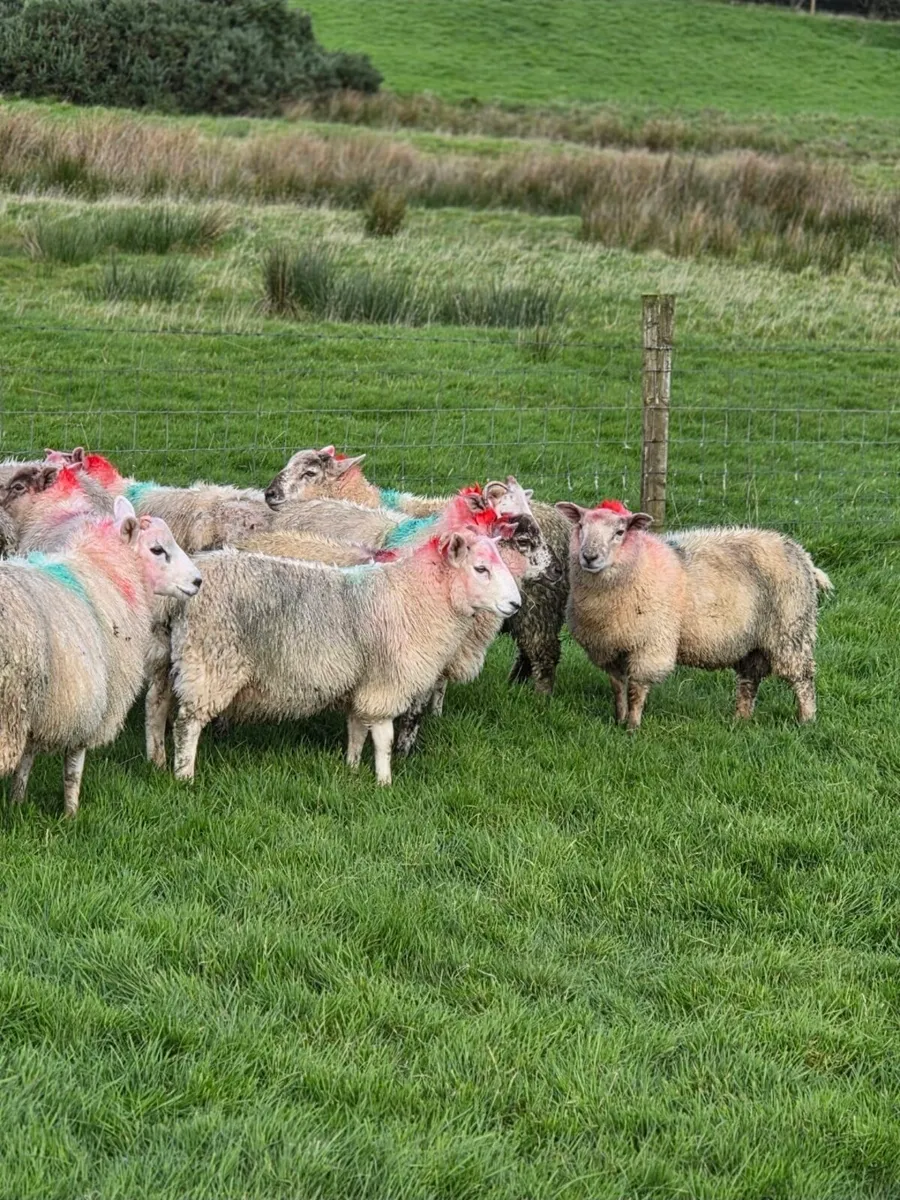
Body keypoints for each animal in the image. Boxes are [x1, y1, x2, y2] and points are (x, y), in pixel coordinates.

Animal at [0, 498, 201, 816]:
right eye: (157, 549)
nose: (197, 581)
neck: (107, 570)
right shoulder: (87, 697)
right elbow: (73, 764)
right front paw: (70, 813)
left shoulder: (44, 702)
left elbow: (27, 757)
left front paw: (16, 801)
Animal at [154, 528, 521, 786]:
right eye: (481, 568)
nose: (516, 604)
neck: (415, 596)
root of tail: (194, 577)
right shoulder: (386, 683)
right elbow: (384, 738)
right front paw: (384, 781)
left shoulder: (363, 682)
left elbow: (357, 727)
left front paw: (352, 767)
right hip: (210, 661)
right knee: (187, 723)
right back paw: (184, 776)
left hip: (171, 661)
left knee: (156, 709)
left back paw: (157, 758)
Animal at [266, 449, 570, 694]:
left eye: (309, 473)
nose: (269, 494)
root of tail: (562, 523)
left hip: (539, 609)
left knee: (543, 653)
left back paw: (540, 699)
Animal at [556, 498, 833, 729]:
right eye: (580, 526)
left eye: (619, 532)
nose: (589, 557)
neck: (638, 565)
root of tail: (803, 555)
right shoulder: (609, 648)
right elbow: (618, 688)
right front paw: (619, 719)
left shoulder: (651, 644)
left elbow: (636, 689)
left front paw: (632, 726)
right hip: (752, 641)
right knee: (749, 681)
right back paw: (740, 720)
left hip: (791, 630)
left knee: (803, 678)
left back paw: (807, 720)